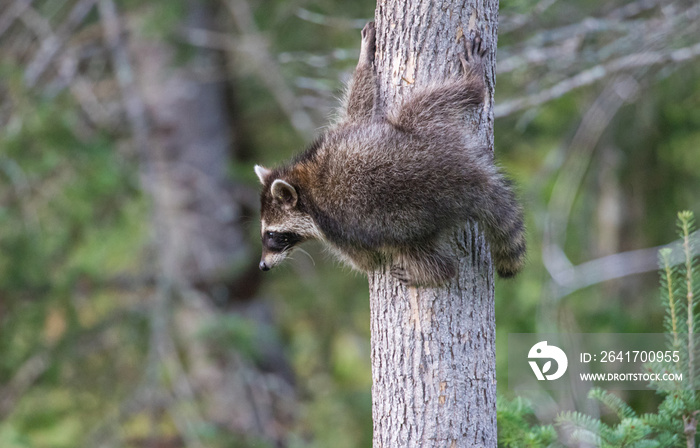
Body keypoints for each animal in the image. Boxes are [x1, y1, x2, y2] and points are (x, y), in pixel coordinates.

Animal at [253, 21, 524, 288]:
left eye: (273, 235)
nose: (263, 266)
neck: (305, 184)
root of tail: (469, 175)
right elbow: (362, 105)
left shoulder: (338, 230)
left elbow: (366, 260)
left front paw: (363, 60)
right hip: (426, 137)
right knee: (431, 103)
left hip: (407, 222)